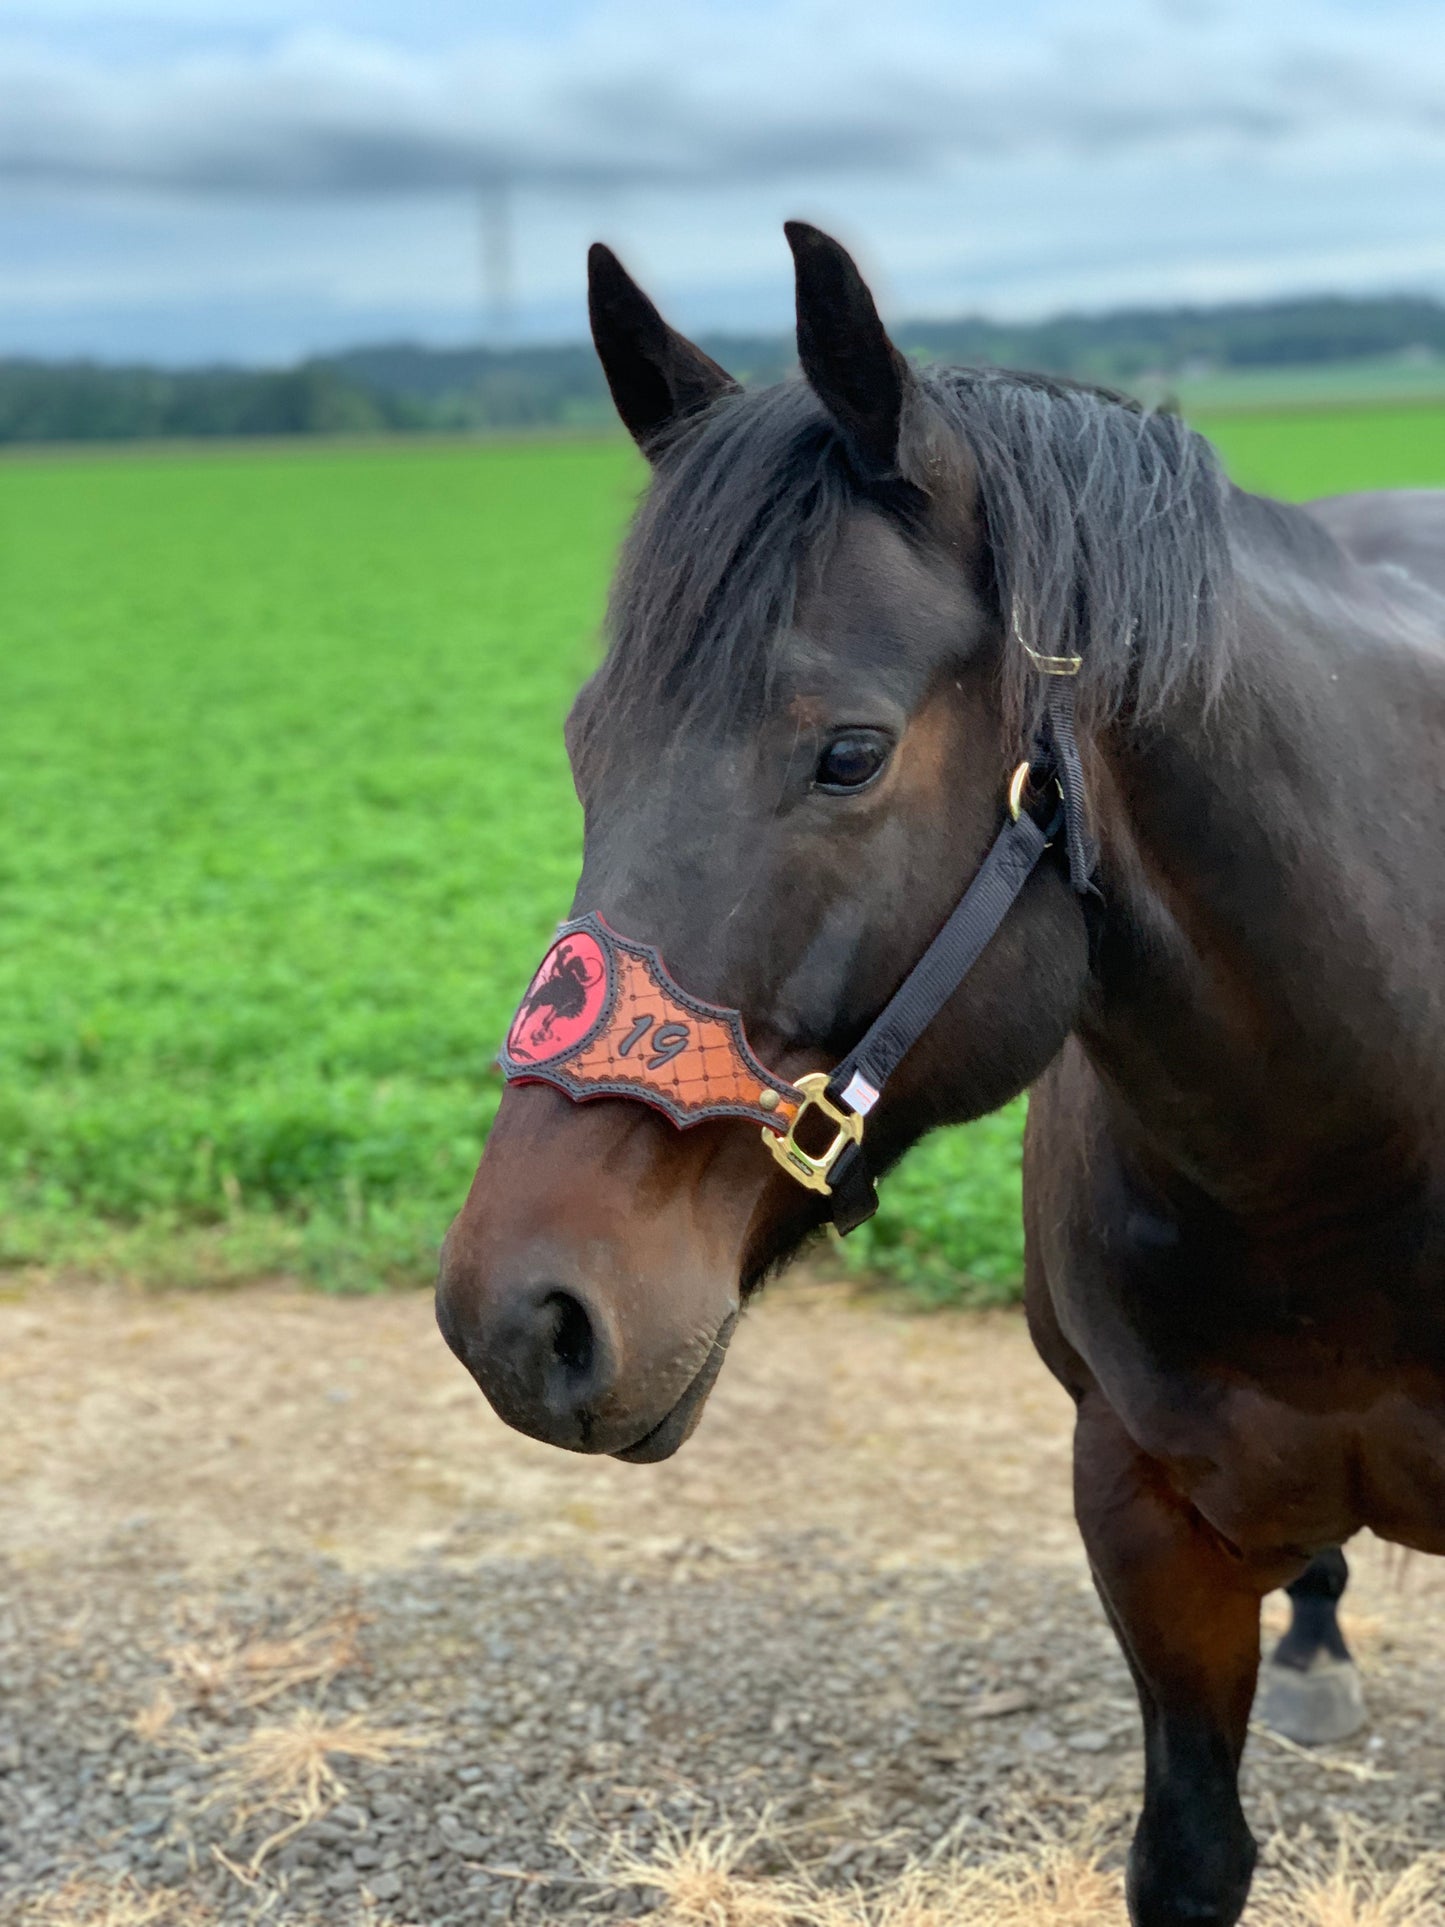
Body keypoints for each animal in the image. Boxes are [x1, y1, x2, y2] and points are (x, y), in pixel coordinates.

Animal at [439, 229, 1445, 1927]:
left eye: (848, 751)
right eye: (585, 742)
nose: (521, 1317)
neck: (1344, 1153)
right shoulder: (1143, 1523)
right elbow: (1190, 1851)